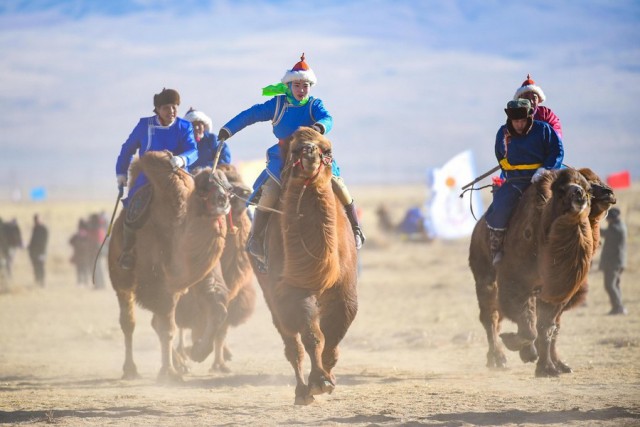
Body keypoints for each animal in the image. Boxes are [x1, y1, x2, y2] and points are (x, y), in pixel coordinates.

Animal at [109, 150, 231, 382]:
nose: (224, 199)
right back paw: (131, 369)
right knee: (129, 322)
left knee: (155, 322)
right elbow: (167, 329)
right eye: (205, 187)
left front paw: (199, 352)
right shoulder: (159, 285)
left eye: (228, 186)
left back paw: (182, 363)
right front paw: (168, 373)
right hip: (121, 279)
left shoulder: (199, 276)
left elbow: (218, 308)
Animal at [255, 126, 360, 404]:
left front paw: (327, 375)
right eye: (294, 148)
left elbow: (334, 334)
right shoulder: (293, 289)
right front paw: (319, 382)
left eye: (327, 149)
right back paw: (301, 391)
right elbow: (313, 336)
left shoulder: (345, 291)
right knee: (292, 344)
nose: (310, 151)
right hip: (269, 290)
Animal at [470, 167, 616, 378]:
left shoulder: (558, 294)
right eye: (560, 190)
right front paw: (523, 350)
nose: (608, 192)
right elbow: (530, 326)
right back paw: (498, 359)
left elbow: (547, 328)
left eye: (589, 188)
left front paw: (550, 367)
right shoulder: (517, 283)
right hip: (485, 276)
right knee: (491, 316)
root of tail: (478, 226)